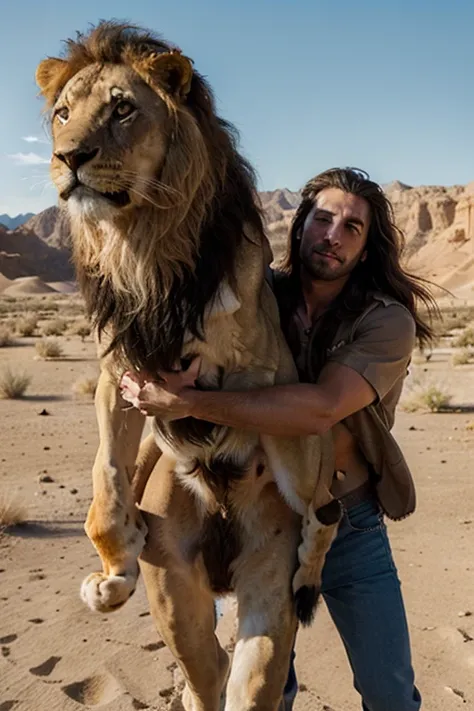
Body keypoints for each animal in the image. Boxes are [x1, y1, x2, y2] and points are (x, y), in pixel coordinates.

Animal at [36, 22, 340, 711]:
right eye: (63, 114)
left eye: (123, 109)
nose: (68, 158)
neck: (141, 240)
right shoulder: (117, 378)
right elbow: (106, 483)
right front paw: (111, 578)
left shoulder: (261, 368)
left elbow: (216, 389)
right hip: (181, 588)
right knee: (211, 671)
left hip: (297, 470)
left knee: (325, 513)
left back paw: (308, 570)